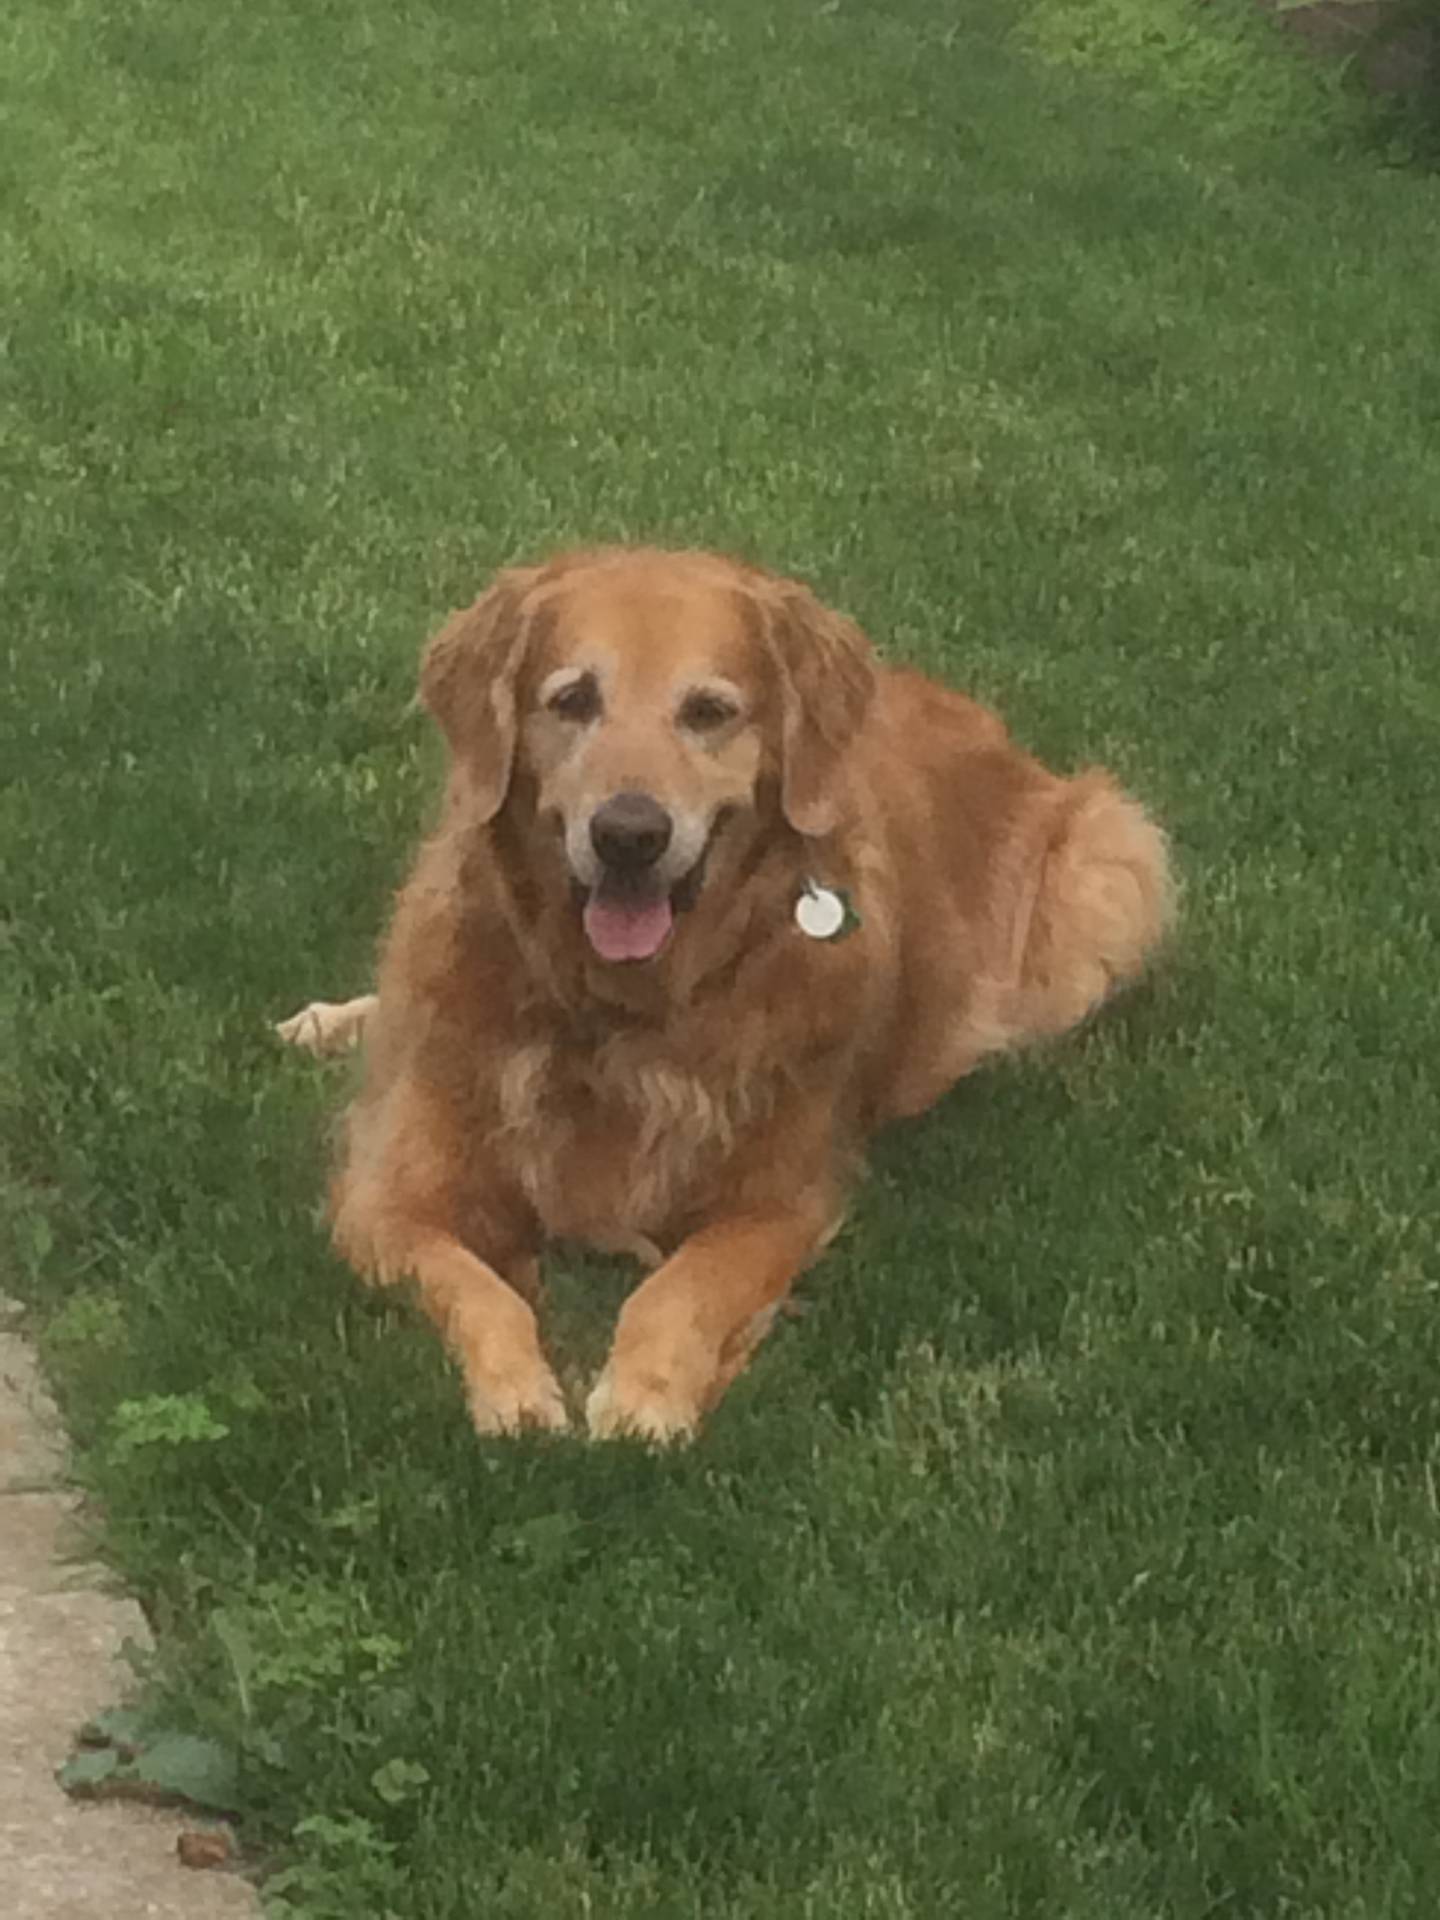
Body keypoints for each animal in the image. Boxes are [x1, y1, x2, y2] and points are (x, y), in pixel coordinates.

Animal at [278, 549, 1175, 1436]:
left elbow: (685, 1285)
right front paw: (518, 1393)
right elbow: (477, 1287)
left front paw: (645, 1396)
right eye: (573, 700)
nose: (629, 836)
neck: (621, 1009)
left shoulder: (781, 1200)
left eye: (709, 711)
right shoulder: (385, 1197)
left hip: (1115, 865)